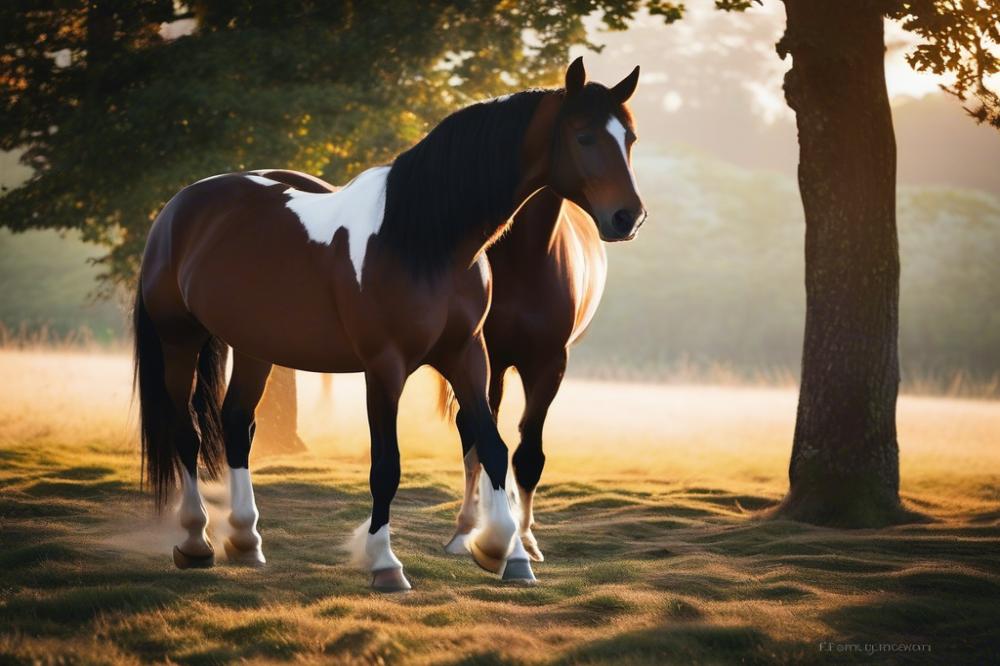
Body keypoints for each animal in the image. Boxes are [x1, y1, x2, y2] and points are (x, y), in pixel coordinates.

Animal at [133, 55, 644, 588]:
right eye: (584, 136)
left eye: (629, 137)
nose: (628, 217)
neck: (423, 238)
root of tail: (178, 207)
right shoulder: (385, 366)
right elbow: (387, 466)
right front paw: (385, 563)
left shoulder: (469, 354)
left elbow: (492, 444)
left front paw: (507, 552)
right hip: (179, 339)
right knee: (187, 433)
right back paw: (196, 541)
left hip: (255, 346)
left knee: (236, 424)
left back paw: (245, 540)